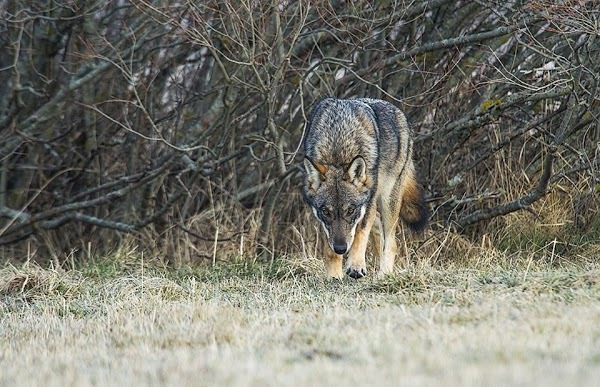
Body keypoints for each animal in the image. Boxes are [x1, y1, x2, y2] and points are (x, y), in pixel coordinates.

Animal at [302, 97, 428, 278]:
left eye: (350, 210)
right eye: (326, 212)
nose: (341, 249)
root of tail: (400, 113)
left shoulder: (367, 203)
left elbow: (360, 233)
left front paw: (355, 265)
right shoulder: (323, 221)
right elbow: (329, 250)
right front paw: (334, 276)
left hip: (388, 198)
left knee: (391, 243)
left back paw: (384, 275)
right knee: (378, 226)